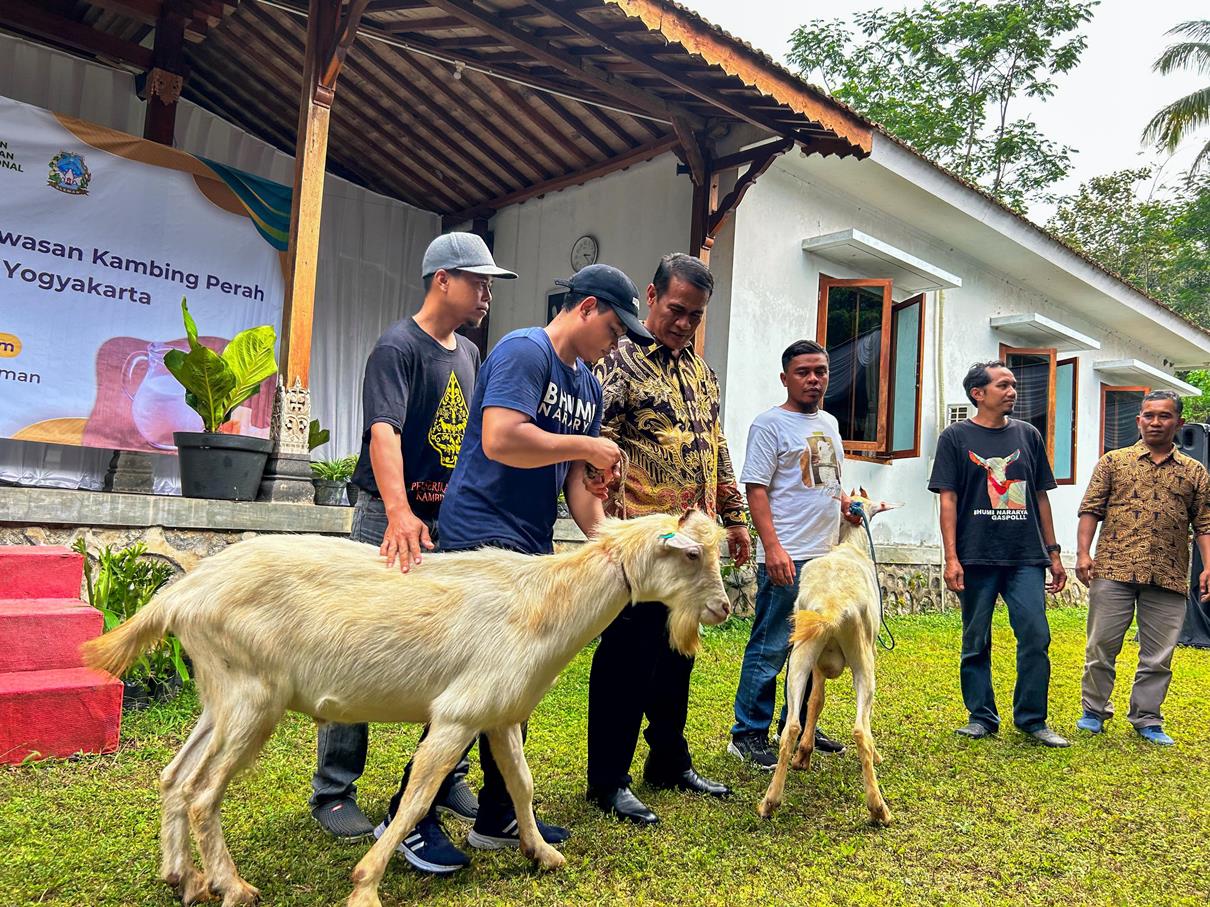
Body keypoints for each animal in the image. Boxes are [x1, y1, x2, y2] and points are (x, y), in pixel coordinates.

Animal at [87, 512, 726, 907]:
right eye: (692, 555)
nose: (723, 608)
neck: (542, 603)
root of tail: (180, 594)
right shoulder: (457, 716)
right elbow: (419, 795)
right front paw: (366, 884)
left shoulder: (497, 714)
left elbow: (520, 784)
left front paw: (541, 853)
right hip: (251, 698)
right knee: (203, 792)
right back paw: (232, 887)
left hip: (220, 697)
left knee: (175, 778)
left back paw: (183, 879)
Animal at [755, 493, 900, 827]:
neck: (850, 545)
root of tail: (833, 606)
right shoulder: (870, 650)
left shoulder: (818, 666)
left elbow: (815, 702)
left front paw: (804, 756)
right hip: (863, 658)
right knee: (861, 730)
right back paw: (879, 808)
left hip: (801, 653)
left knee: (790, 728)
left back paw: (770, 802)